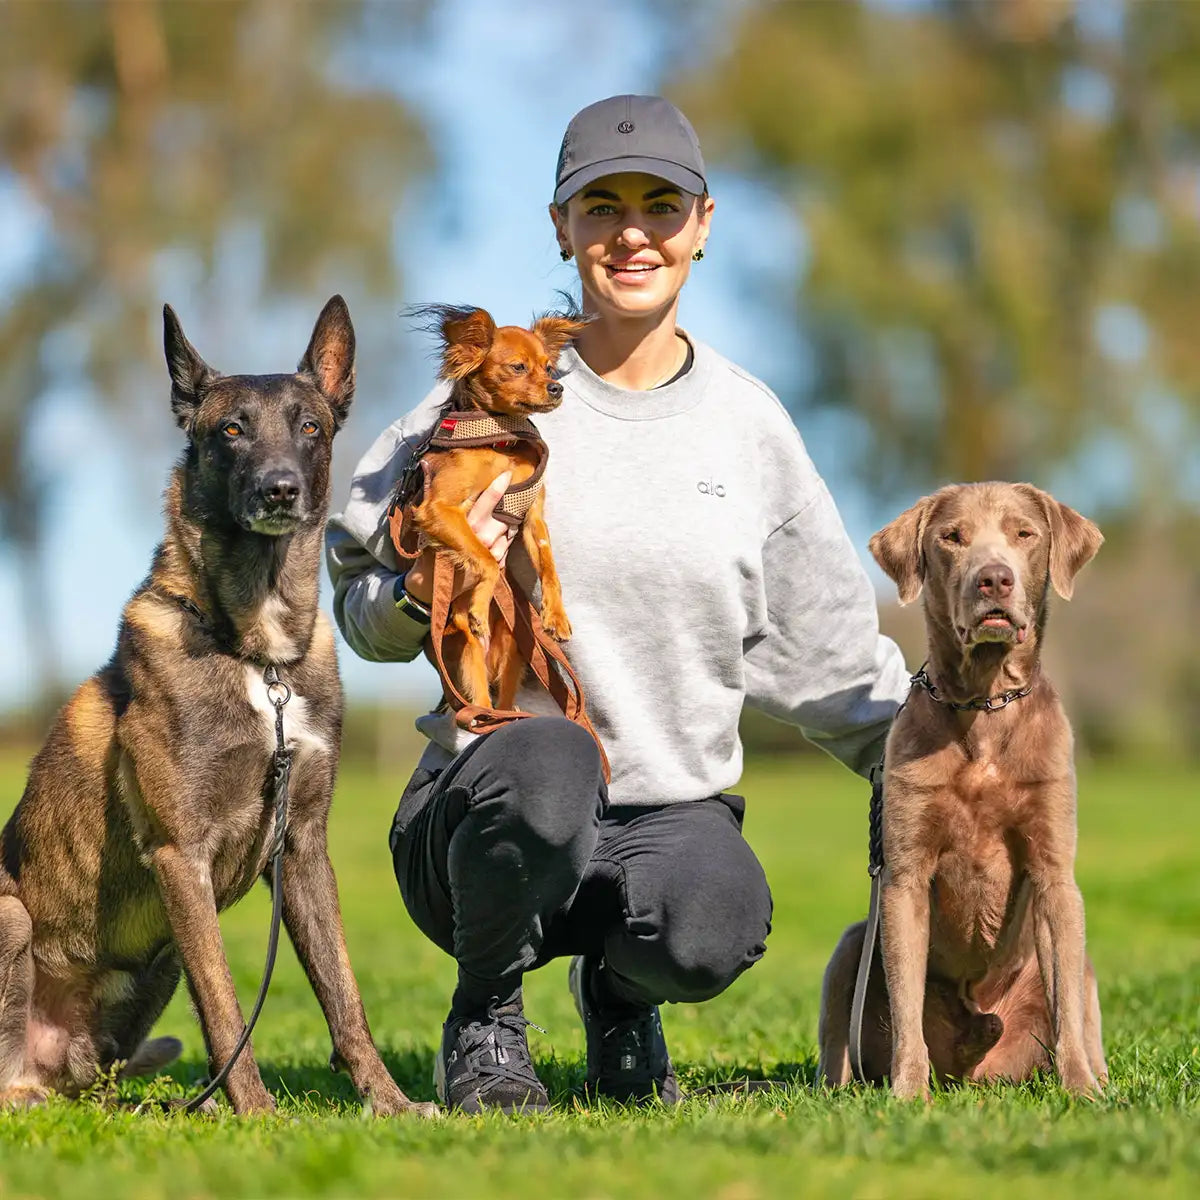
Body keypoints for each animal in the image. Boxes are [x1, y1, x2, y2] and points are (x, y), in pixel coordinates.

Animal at [0, 297, 436, 1113]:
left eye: (310, 427)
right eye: (231, 430)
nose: (279, 489)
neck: (259, 658)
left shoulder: (303, 849)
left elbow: (345, 998)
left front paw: (391, 1103)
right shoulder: (182, 857)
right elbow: (229, 1006)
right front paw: (258, 1115)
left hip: (155, 962)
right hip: (18, 915)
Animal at [405, 304, 588, 705]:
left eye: (549, 367)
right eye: (517, 367)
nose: (557, 388)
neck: (498, 441)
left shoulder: (532, 517)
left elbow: (549, 565)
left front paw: (556, 615)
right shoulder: (438, 510)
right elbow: (486, 559)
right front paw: (477, 604)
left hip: (516, 656)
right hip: (467, 658)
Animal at [820, 480, 1108, 1099]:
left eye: (1025, 533)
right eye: (951, 537)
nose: (993, 579)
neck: (985, 704)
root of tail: (975, 1070)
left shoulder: (1054, 869)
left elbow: (1068, 1007)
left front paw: (1082, 1092)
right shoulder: (904, 876)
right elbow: (905, 1004)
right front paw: (908, 1094)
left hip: (1080, 961)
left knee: (1080, 997)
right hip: (855, 942)